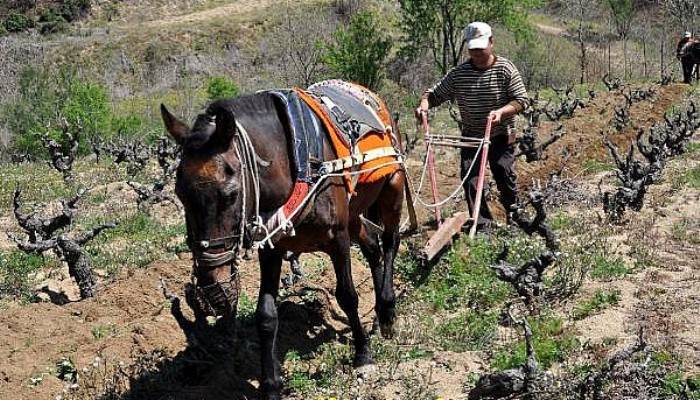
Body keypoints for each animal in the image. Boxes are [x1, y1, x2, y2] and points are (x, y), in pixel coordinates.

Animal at [159, 85, 404, 400]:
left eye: (230, 194)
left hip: (393, 187)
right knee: (373, 247)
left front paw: (362, 354)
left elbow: (347, 295)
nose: (212, 286)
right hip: (355, 213)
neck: (298, 165)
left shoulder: (337, 239)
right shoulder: (272, 248)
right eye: (180, 193)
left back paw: (387, 310)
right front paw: (271, 385)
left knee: (390, 242)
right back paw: (379, 317)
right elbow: (266, 315)